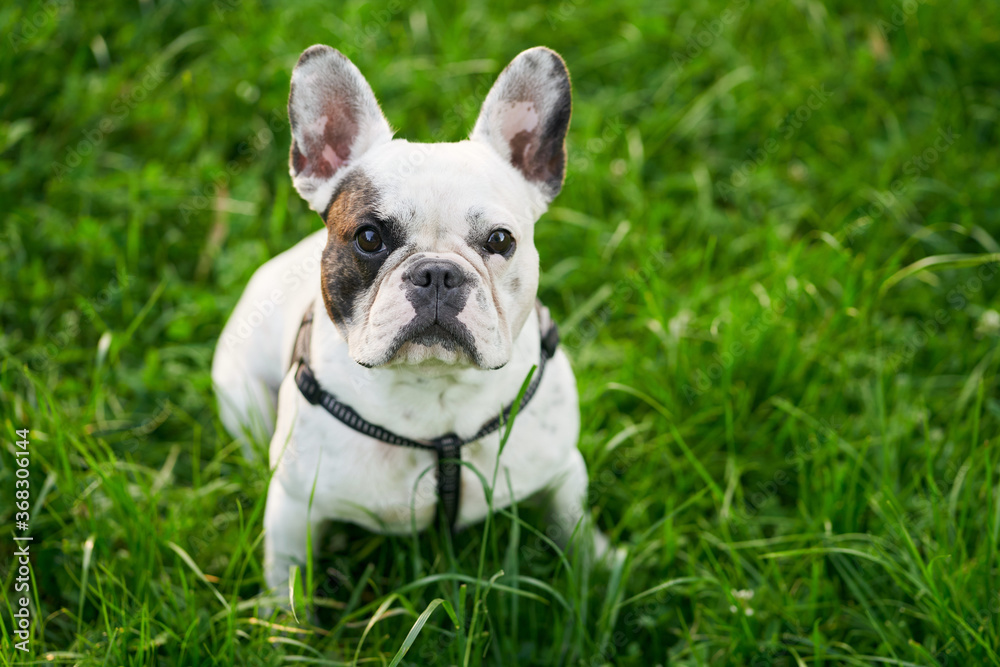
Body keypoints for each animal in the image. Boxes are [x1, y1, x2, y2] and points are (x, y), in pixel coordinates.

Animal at [212, 45, 608, 600]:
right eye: (369, 238)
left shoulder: (562, 469)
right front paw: (280, 619)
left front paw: (600, 571)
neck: (433, 391)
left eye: (501, 240)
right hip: (240, 399)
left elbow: (571, 525)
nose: (437, 272)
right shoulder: (292, 507)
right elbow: (287, 575)